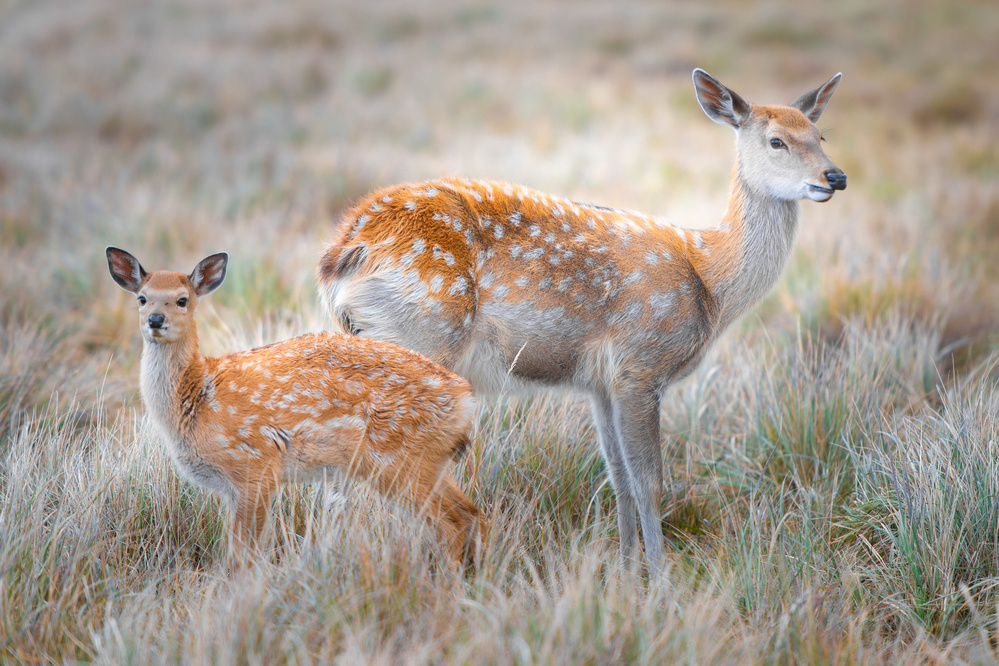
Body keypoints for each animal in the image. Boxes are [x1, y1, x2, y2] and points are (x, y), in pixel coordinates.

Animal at [107, 246, 482, 568]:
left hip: (400, 458)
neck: (199, 396)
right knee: (469, 512)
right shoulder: (233, 488)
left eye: (182, 300)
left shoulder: (255, 467)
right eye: (142, 298)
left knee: (452, 520)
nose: (156, 319)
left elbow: (243, 555)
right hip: (424, 461)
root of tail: (465, 400)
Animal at [316, 70, 848, 572]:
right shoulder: (640, 363)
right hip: (422, 335)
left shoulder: (599, 382)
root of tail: (346, 251)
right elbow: (650, 481)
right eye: (776, 140)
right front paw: (661, 580)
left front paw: (627, 572)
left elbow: (619, 480)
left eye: (820, 134)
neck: (710, 279)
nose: (836, 177)